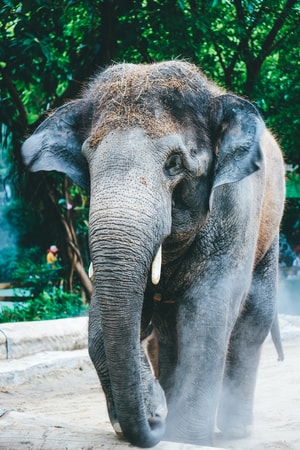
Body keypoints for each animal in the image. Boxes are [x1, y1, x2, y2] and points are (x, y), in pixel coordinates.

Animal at [22, 59, 284, 446]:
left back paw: (235, 429)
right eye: (88, 160)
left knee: (253, 315)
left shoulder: (235, 209)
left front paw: (186, 437)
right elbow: (106, 320)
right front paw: (157, 411)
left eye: (174, 163)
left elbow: (209, 309)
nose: (152, 423)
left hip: (271, 228)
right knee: (168, 327)